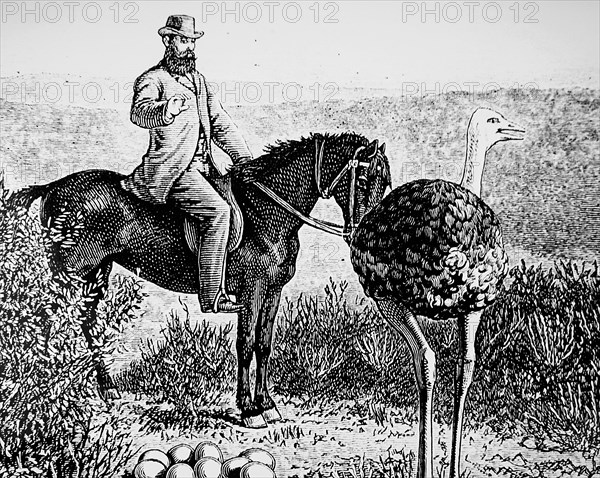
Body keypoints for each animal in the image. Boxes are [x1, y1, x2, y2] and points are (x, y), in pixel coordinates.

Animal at [14, 133, 392, 428]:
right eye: (362, 181)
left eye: (385, 183)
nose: (366, 234)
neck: (266, 212)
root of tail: (54, 187)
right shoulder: (252, 291)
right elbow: (246, 344)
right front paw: (249, 410)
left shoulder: (273, 290)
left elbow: (264, 343)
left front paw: (267, 404)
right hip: (69, 270)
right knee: (46, 318)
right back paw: (46, 381)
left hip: (96, 272)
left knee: (87, 322)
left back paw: (105, 387)